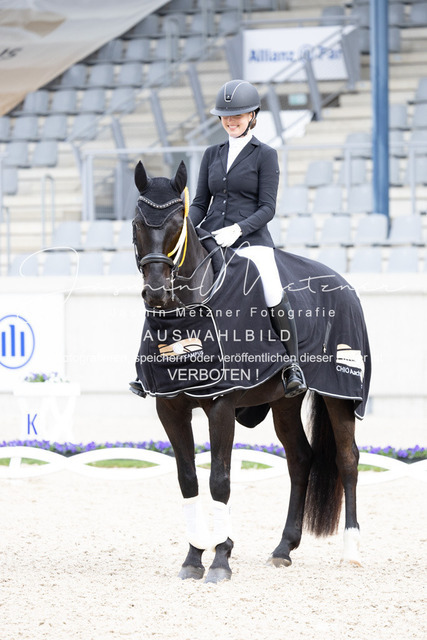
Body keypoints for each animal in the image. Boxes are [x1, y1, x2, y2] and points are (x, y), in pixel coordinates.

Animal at [131, 160, 370, 583]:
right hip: (284, 402)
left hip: (340, 393)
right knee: (301, 458)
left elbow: (220, 480)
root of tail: (341, 282)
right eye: (137, 223)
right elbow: (188, 479)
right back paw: (283, 549)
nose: (156, 292)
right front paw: (194, 557)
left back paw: (352, 551)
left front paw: (220, 560)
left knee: (348, 459)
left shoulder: (221, 405)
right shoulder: (170, 407)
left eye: (177, 223)